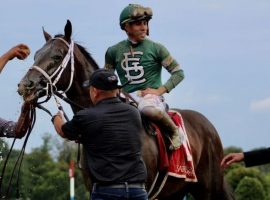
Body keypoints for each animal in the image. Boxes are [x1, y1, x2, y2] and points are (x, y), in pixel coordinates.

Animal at [16, 20, 233, 200]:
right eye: (36, 55)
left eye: (57, 55)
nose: (26, 85)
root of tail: (208, 125)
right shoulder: (95, 187)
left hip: (208, 189)